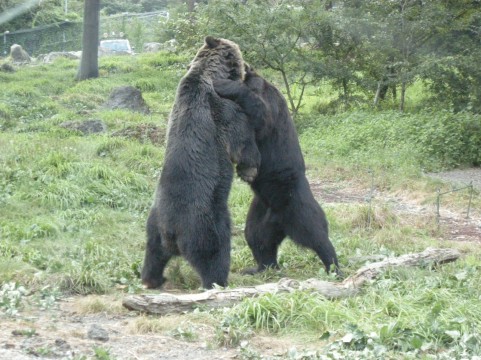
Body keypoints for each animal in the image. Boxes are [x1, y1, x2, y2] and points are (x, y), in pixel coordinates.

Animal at [141, 37, 268, 290]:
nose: (249, 67)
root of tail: (171, 232)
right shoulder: (223, 110)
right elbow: (242, 141)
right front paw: (250, 169)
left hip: (153, 225)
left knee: (153, 254)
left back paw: (152, 279)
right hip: (205, 221)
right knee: (214, 254)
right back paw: (218, 282)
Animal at [212, 67, 340, 272]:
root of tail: (279, 218)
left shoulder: (268, 102)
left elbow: (262, 115)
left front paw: (223, 85)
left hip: (296, 202)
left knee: (315, 232)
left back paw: (333, 267)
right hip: (262, 210)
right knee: (257, 236)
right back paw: (260, 267)